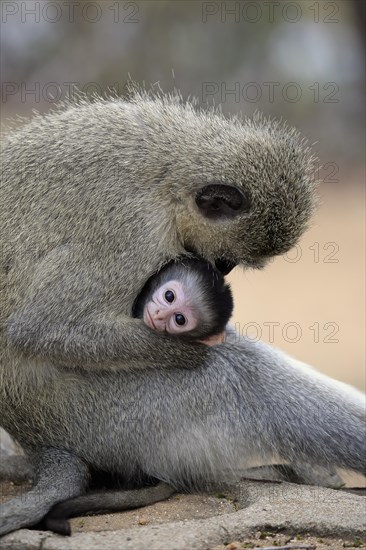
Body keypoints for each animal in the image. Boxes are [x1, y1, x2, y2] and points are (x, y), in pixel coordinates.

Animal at [0, 92, 364, 536]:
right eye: (224, 260)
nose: (221, 270)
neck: (168, 167)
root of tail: (32, 436)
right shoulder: (130, 229)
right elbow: (42, 329)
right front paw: (196, 351)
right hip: (102, 415)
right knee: (243, 373)